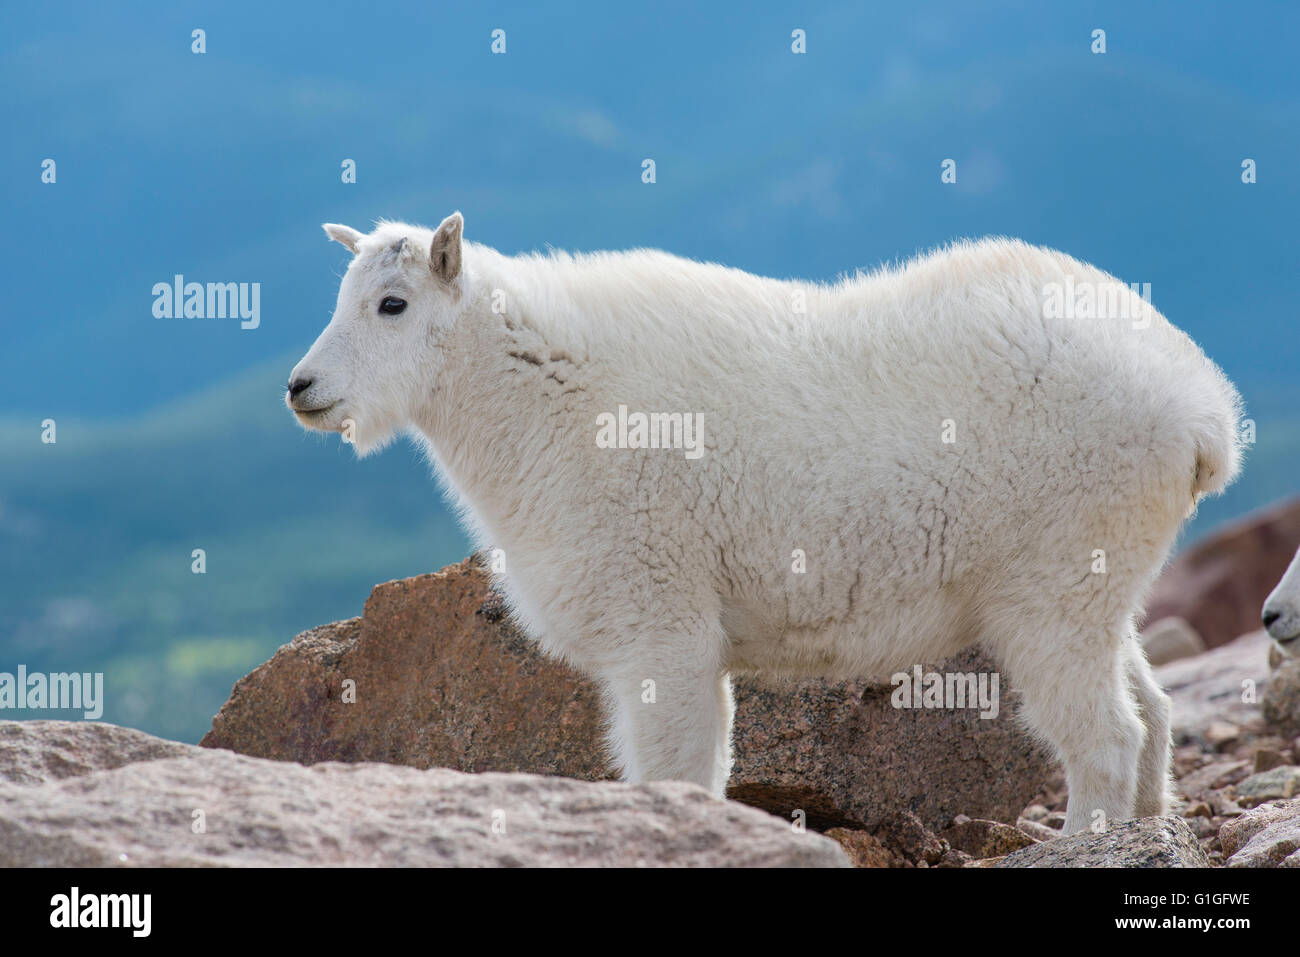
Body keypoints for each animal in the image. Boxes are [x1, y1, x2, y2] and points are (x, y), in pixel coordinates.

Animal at [289, 213, 1242, 832]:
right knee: (1152, 707)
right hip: (1098, 575)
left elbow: (677, 766)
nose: (302, 388)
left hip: (1055, 572)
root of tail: (1202, 415)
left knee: (1107, 732)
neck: (536, 392)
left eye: (392, 304)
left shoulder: (662, 613)